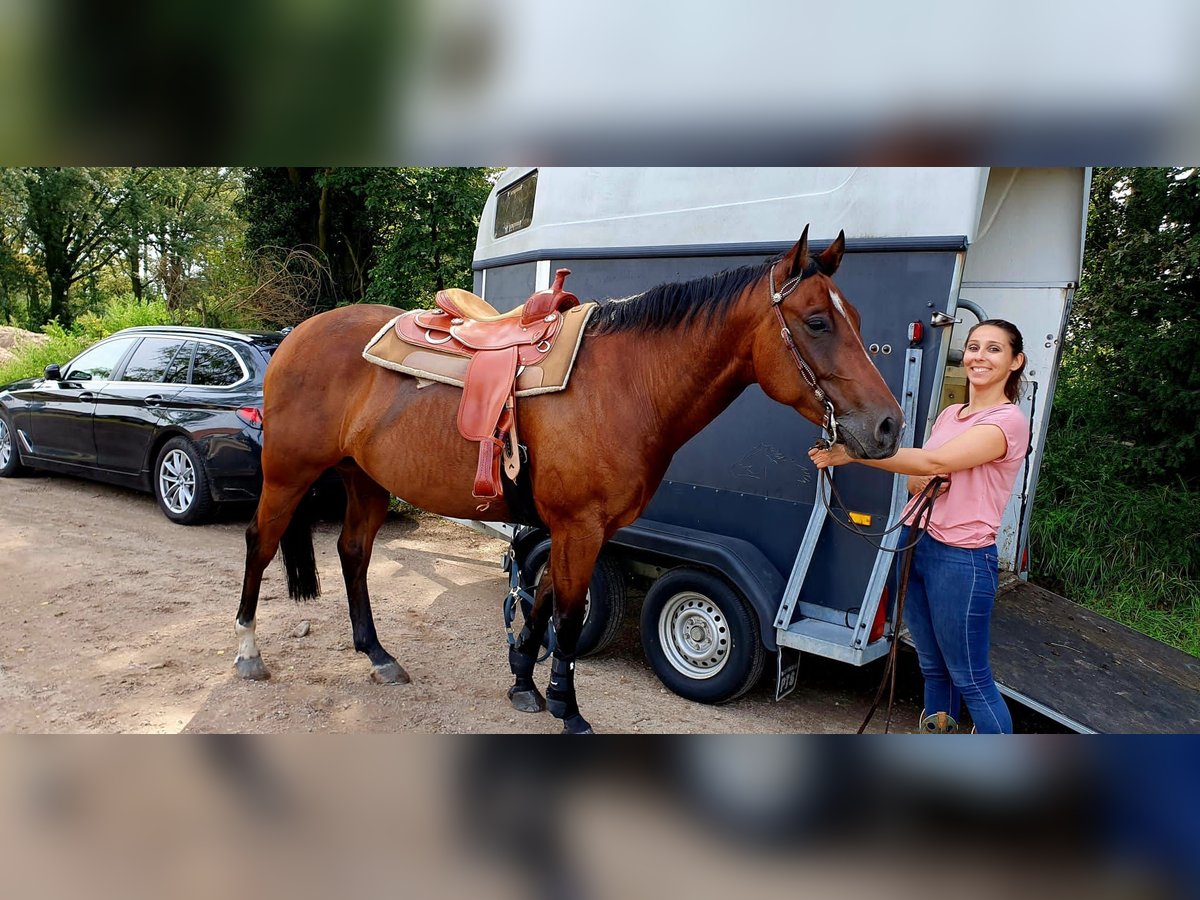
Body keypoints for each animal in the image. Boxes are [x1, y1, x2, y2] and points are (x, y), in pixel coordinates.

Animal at [231, 225, 902, 734]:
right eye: (816, 322)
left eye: (854, 316)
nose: (889, 426)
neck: (625, 385)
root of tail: (296, 335)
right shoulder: (580, 526)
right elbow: (571, 616)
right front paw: (566, 705)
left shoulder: (576, 529)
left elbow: (547, 601)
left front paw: (524, 683)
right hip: (288, 473)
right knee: (260, 545)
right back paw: (247, 652)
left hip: (366, 480)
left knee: (353, 553)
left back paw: (376, 654)